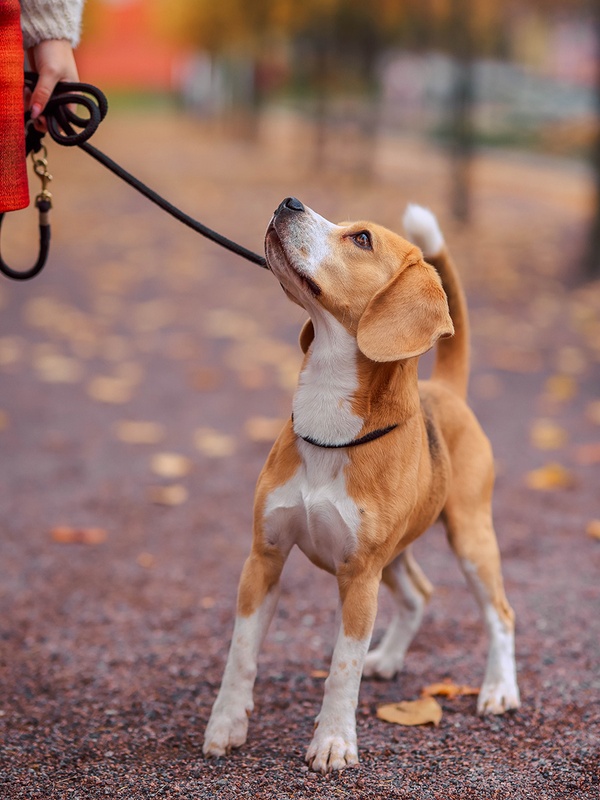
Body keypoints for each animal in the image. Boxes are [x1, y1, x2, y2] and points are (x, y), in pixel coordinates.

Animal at [203, 198, 520, 776]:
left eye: (363, 239)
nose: (288, 202)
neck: (330, 421)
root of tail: (447, 390)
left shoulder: (359, 576)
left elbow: (341, 667)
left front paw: (332, 742)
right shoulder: (264, 557)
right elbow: (241, 654)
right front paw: (226, 726)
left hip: (469, 540)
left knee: (500, 615)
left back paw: (499, 690)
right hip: (394, 556)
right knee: (419, 594)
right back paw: (390, 659)